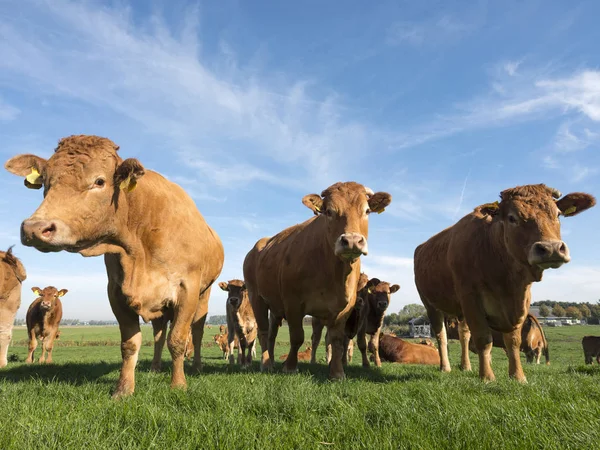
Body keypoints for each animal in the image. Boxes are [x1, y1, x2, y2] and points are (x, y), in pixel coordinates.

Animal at [4, 134, 225, 398]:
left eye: (99, 181)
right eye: (46, 181)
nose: (35, 228)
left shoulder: (187, 289)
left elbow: (179, 339)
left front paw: (178, 385)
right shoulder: (116, 292)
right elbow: (130, 344)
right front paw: (124, 389)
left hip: (203, 295)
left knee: (197, 332)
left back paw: (197, 366)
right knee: (159, 335)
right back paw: (155, 367)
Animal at [241, 183, 392, 380]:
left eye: (367, 210)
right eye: (329, 212)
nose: (351, 240)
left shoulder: (344, 307)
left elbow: (336, 340)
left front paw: (337, 372)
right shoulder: (292, 302)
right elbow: (297, 336)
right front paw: (290, 366)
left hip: (275, 307)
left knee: (272, 334)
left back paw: (271, 361)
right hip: (256, 297)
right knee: (264, 332)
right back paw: (266, 364)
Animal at [414, 185, 592, 382]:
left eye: (558, 214)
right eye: (512, 218)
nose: (551, 248)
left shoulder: (519, 304)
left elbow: (512, 341)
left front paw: (518, 376)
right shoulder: (470, 298)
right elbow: (483, 339)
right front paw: (487, 377)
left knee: (464, 335)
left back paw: (466, 366)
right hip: (430, 304)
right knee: (442, 335)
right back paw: (445, 367)